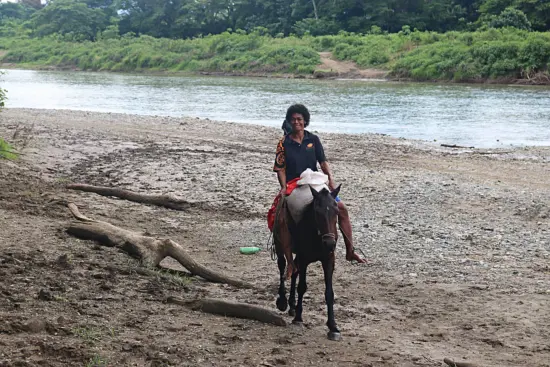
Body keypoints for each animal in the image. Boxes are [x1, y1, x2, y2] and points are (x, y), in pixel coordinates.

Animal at [274, 185, 342, 340]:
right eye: (317, 212)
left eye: (336, 211)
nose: (330, 243)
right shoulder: (304, 258)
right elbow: (302, 287)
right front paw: (298, 318)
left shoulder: (329, 260)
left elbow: (329, 292)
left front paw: (333, 326)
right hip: (279, 243)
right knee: (282, 266)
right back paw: (283, 302)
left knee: (293, 270)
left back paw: (292, 306)